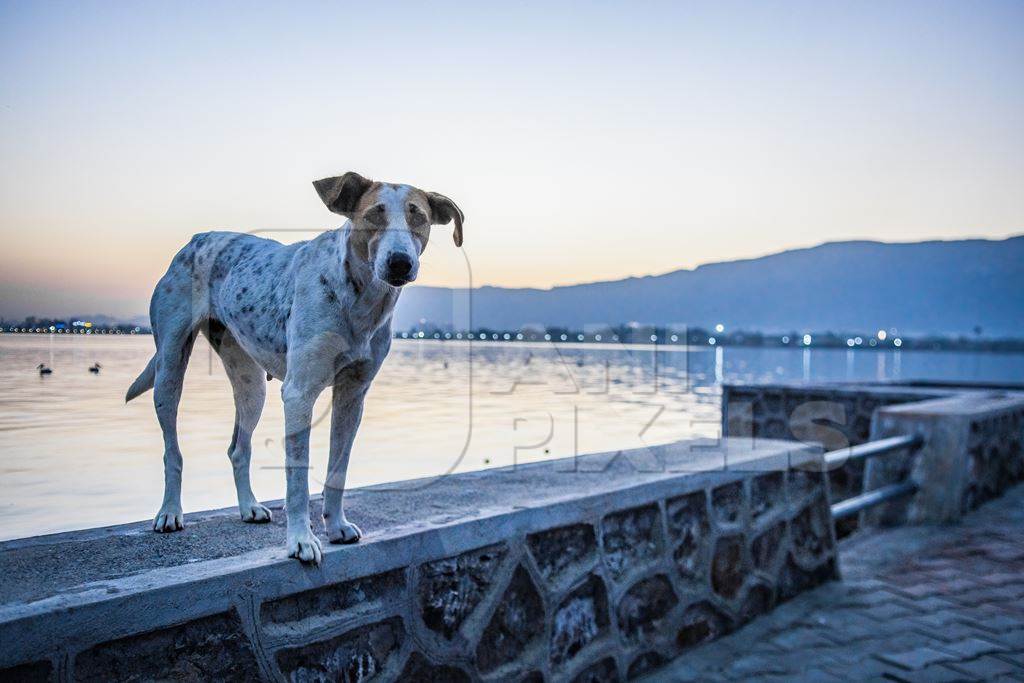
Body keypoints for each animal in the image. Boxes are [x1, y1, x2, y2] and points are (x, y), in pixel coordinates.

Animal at [123, 174, 464, 565]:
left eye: (417, 216)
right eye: (373, 214)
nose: (399, 263)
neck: (360, 300)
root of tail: (196, 239)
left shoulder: (352, 396)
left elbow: (337, 469)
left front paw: (336, 526)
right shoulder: (300, 394)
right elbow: (297, 477)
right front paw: (301, 541)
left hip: (251, 384)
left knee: (238, 448)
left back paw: (249, 507)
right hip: (169, 368)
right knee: (172, 451)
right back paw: (169, 512)